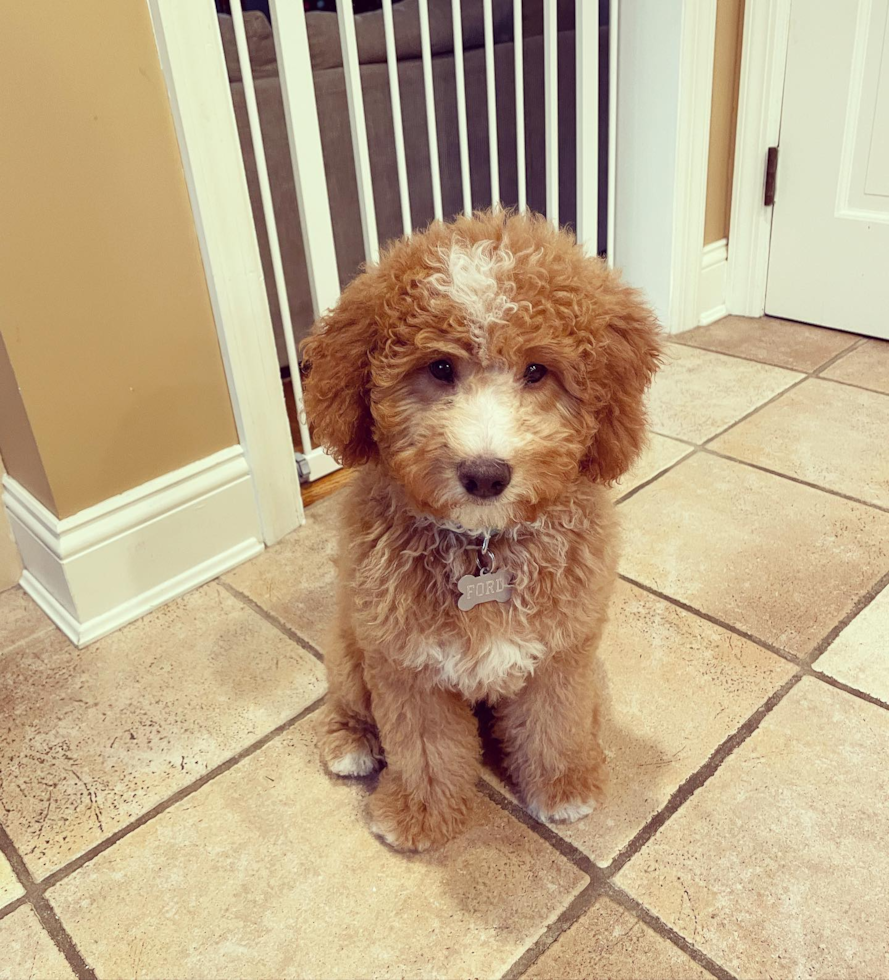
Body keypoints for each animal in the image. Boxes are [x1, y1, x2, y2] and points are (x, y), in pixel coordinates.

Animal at [302, 212, 656, 848]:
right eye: (440, 367)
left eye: (537, 370)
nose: (486, 475)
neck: (483, 546)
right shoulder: (405, 663)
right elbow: (424, 748)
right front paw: (421, 814)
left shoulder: (562, 653)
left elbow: (556, 723)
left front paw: (562, 787)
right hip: (348, 644)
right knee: (348, 701)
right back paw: (350, 742)